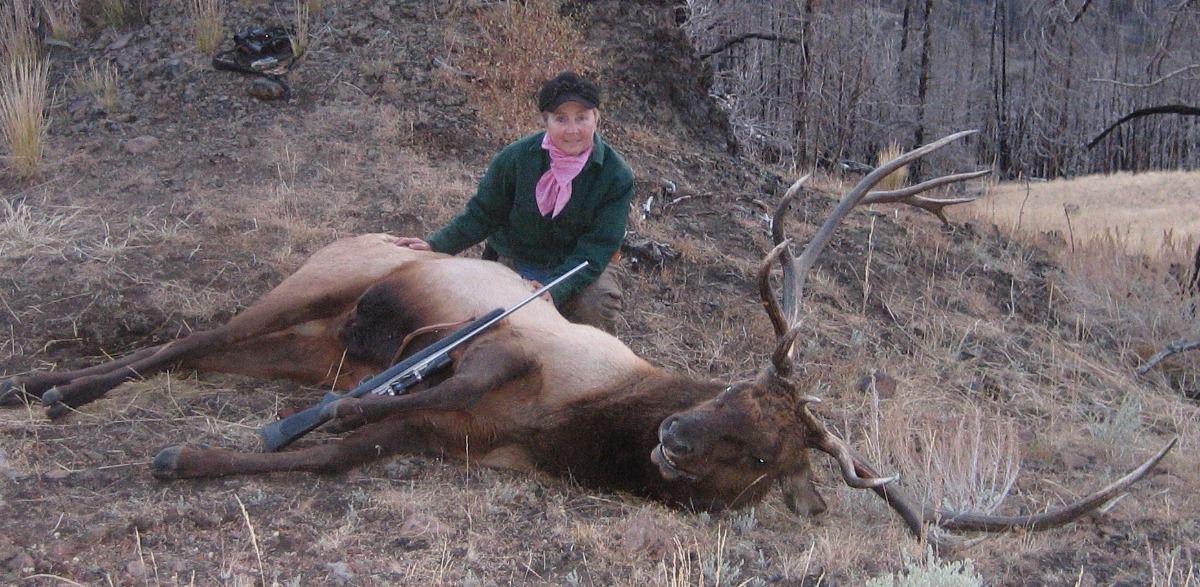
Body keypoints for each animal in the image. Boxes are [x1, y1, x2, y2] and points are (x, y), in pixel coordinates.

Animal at [0, 131, 1175, 543]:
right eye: (739, 387)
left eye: (767, 453)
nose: (675, 443)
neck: (577, 422)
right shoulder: (494, 346)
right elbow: (364, 405)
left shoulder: (452, 442)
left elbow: (337, 447)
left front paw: (190, 455)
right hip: (321, 279)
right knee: (185, 336)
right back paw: (52, 385)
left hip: (307, 333)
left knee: (207, 351)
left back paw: (49, 385)